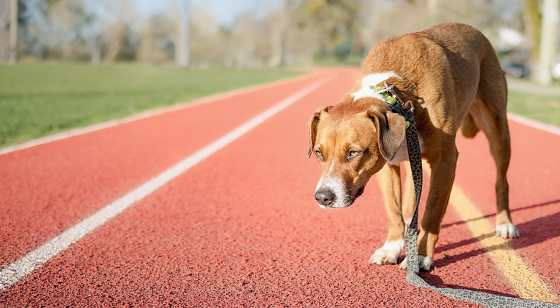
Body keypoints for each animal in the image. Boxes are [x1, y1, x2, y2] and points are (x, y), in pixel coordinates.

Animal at [308, 22, 520, 270]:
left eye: (353, 153)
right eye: (319, 154)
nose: (323, 197)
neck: (396, 96)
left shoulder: (446, 159)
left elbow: (432, 211)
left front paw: (419, 256)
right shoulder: (385, 164)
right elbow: (393, 209)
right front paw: (392, 247)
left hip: (498, 130)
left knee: (501, 180)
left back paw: (505, 222)